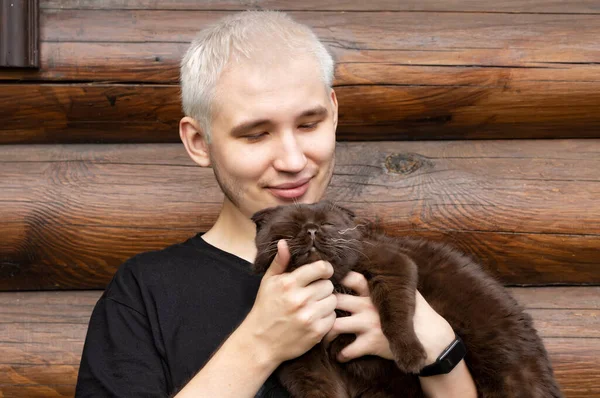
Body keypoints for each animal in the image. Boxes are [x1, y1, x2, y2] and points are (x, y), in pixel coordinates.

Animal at [252, 202, 564, 398]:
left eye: (327, 224)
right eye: (292, 226)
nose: (312, 229)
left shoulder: (392, 264)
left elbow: (395, 313)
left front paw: (411, 355)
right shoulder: (298, 357)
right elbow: (318, 388)